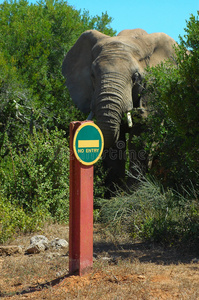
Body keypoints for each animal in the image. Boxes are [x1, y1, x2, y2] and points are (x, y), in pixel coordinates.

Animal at [61, 28, 176, 195]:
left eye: (136, 77)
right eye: (92, 75)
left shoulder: (153, 94)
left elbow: (143, 135)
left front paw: (133, 193)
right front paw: (114, 195)